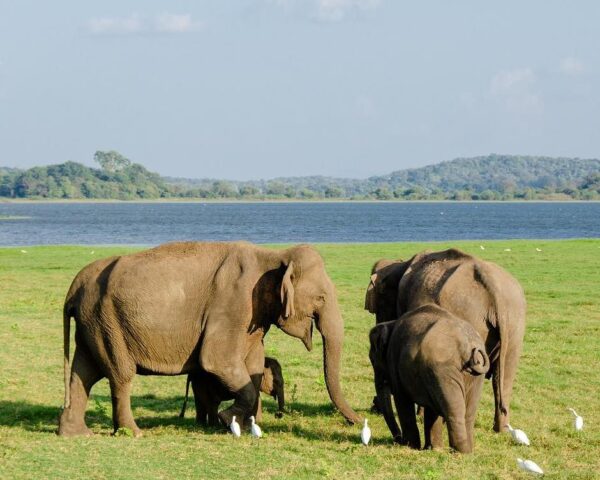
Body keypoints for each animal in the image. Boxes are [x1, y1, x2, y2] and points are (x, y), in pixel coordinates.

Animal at [58, 242, 358, 436]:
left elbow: (253, 363)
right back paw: (133, 432)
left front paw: (245, 425)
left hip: (93, 323)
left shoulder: (253, 317)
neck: (272, 256)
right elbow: (216, 360)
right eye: (321, 298)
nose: (357, 421)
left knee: (83, 373)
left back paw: (74, 433)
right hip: (107, 322)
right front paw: (228, 420)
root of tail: (73, 288)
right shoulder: (232, 304)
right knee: (120, 374)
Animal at [364, 249, 524, 434]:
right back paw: (501, 429)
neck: (400, 264)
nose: (374, 407)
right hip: (514, 322)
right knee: (504, 377)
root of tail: (493, 288)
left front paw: (421, 415)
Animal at [370, 304, 492, 454]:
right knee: (468, 413)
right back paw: (467, 452)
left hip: (444, 370)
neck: (391, 323)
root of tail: (468, 346)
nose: (397, 440)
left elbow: (402, 401)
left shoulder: (394, 360)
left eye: (373, 361)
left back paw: (458, 451)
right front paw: (433, 449)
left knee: (453, 410)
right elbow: (431, 409)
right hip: (472, 376)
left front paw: (411, 446)